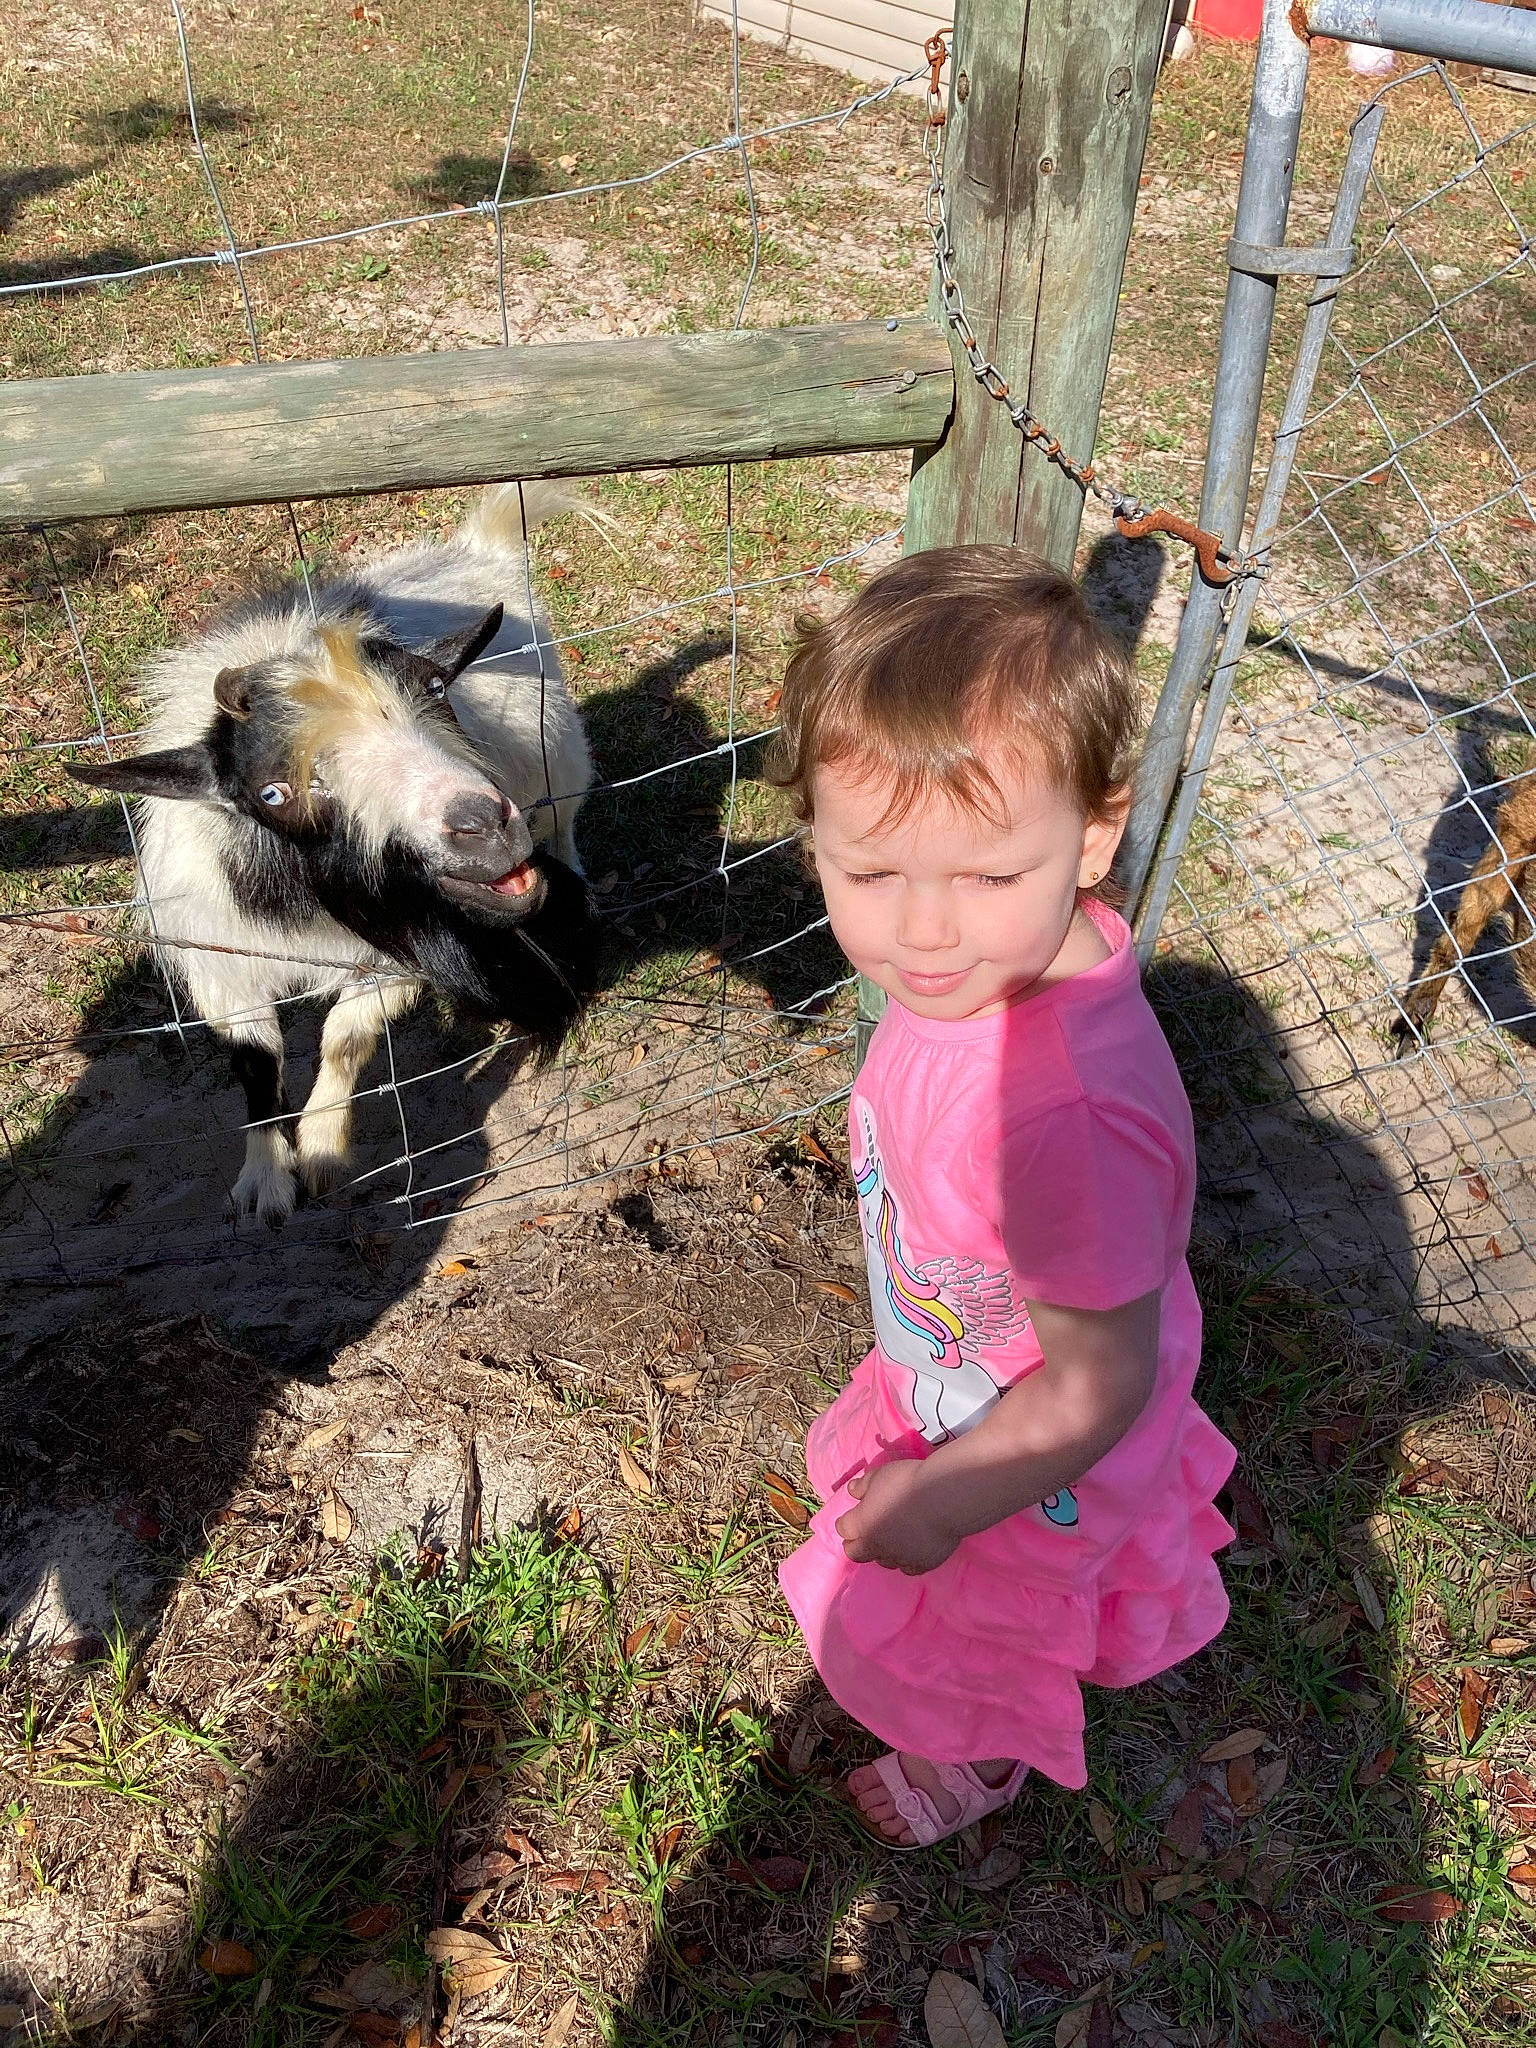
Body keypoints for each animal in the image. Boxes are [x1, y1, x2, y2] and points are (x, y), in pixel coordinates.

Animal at [69, 484, 596, 1226]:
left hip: (557, 762)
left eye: (435, 692)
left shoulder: (400, 948)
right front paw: (264, 1181)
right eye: (273, 791)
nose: (482, 825)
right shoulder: (220, 957)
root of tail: (478, 545)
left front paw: (319, 1148)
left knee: (568, 816)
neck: (301, 905)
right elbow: (255, 1062)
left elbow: (344, 1035)